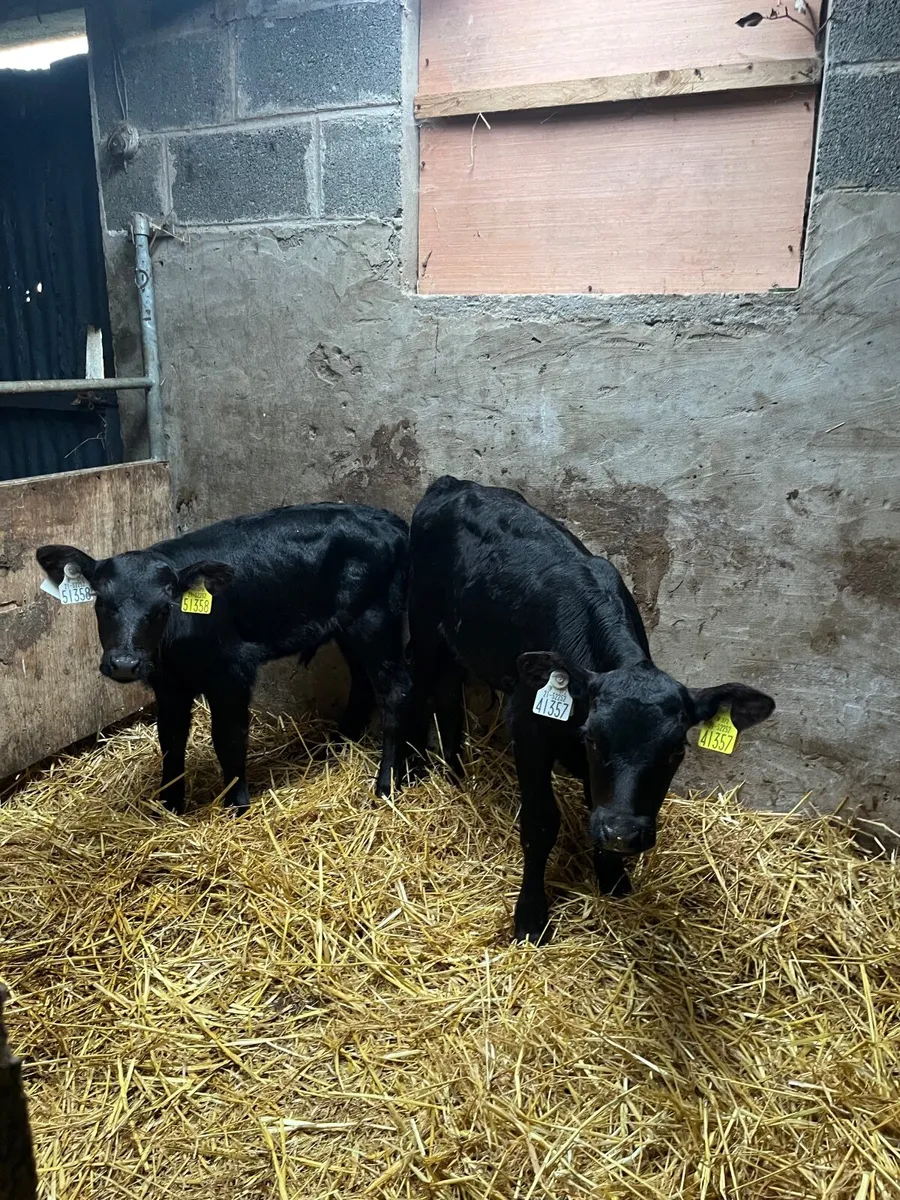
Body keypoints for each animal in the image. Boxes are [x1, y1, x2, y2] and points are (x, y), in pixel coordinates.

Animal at [37, 503, 411, 815]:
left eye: (163, 607)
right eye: (101, 602)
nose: (125, 664)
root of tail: (387, 519)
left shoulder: (233, 671)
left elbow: (229, 738)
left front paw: (238, 806)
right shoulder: (168, 685)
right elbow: (171, 741)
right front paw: (169, 806)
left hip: (376, 618)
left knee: (395, 692)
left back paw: (386, 784)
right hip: (348, 626)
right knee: (362, 684)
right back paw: (332, 750)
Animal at [407, 476, 775, 943]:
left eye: (676, 752)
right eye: (594, 740)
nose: (621, 833)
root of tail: (455, 483)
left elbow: (596, 799)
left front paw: (613, 877)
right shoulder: (527, 726)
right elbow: (540, 823)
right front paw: (531, 916)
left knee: (448, 694)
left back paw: (455, 774)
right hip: (421, 622)